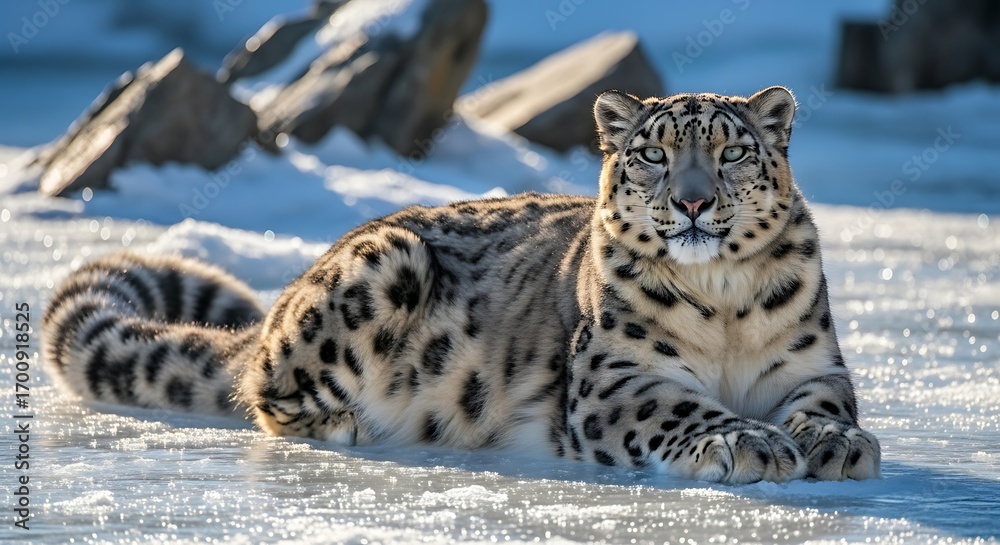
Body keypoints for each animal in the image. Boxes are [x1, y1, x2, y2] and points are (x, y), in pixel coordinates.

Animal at [42, 86, 880, 484]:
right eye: (653, 154)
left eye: (732, 151)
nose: (695, 202)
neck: (725, 302)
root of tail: (285, 295)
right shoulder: (616, 374)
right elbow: (678, 405)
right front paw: (751, 441)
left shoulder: (813, 363)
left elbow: (826, 406)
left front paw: (837, 444)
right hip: (384, 269)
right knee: (265, 391)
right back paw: (352, 423)